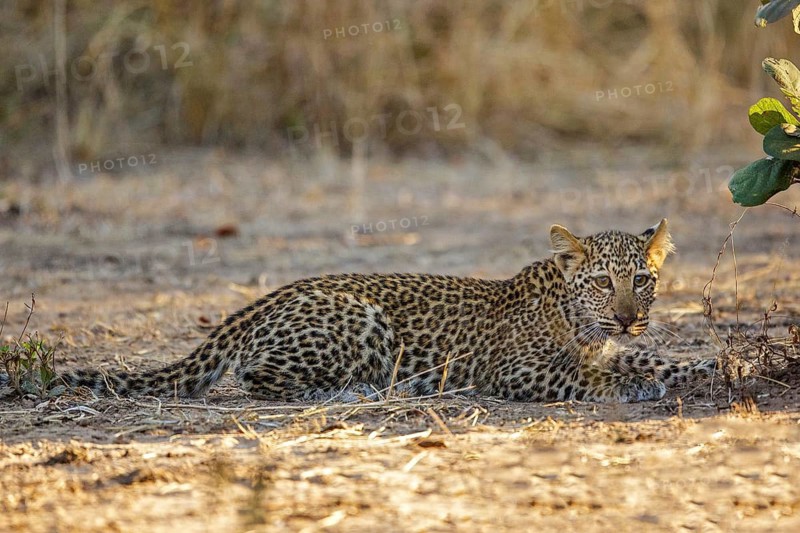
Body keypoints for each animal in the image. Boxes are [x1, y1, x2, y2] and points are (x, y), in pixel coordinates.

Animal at [62, 218, 716, 403]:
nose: (628, 317)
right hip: (360, 319)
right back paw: (357, 390)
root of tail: (264, 299)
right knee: (257, 377)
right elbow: (591, 374)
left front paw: (702, 368)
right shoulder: (514, 370)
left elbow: (644, 358)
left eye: (641, 280)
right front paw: (629, 386)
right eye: (603, 281)